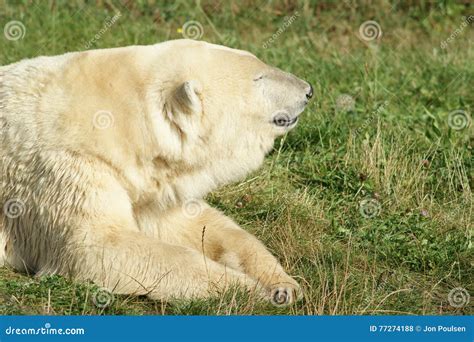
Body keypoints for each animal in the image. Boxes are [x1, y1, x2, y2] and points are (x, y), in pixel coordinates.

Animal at [0, 39, 314, 304]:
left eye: (257, 60)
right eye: (258, 78)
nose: (308, 90)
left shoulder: (146, 186)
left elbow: (192, 225)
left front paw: (282, 283)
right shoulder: (68, 168)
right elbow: (99, 246)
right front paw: (251, 290)